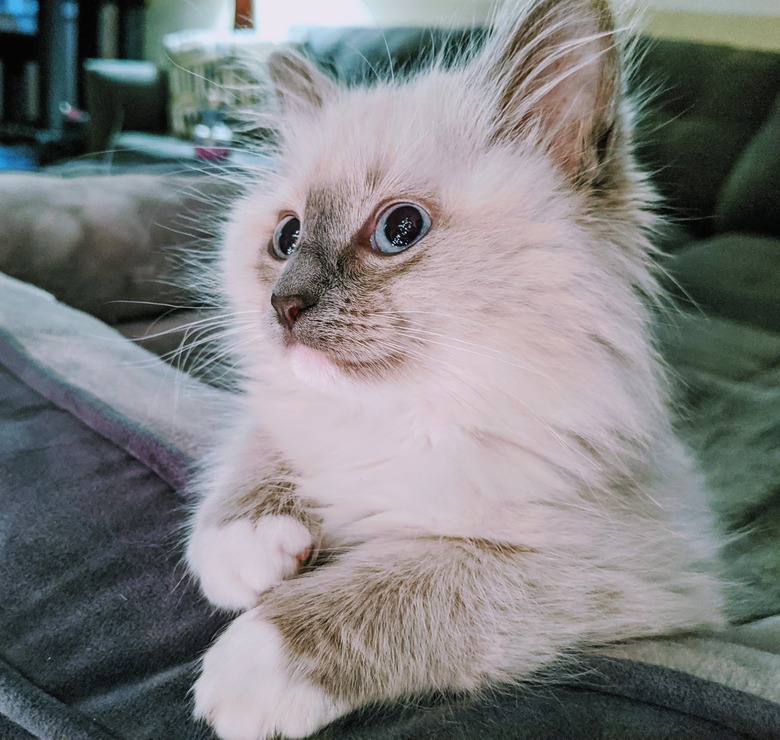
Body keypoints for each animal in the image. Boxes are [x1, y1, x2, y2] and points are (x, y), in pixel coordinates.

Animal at [186, 2, 724, 736]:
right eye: (286, 238)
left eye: (400, 230)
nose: (283, 306)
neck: (404, 416)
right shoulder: (289, 413)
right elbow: (257, 448)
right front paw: (248, 548)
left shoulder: (618, 568)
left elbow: (411, 585)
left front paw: (254, 663)